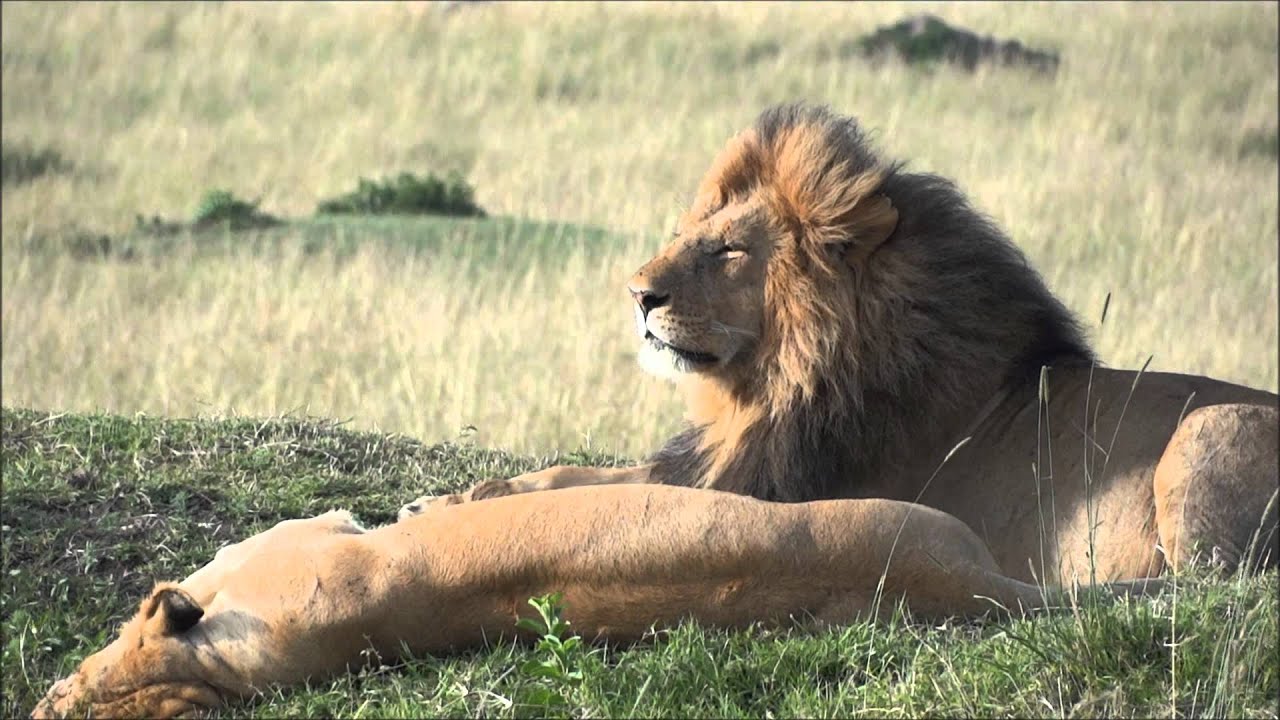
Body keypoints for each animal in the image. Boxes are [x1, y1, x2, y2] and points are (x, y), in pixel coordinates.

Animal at [401, 103, 1279, 584]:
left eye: (729, 252)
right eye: (691, 235)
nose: (637, 294)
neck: (775, 387)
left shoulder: (759, 488)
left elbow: (594, 493)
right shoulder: (720, 459)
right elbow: (568, 476)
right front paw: (437, 503)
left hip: (1211, 432)